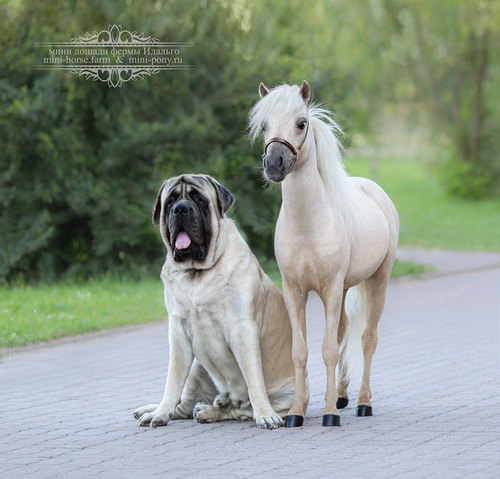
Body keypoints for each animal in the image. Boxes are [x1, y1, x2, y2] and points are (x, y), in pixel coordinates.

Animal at [133, 175, 302, 432]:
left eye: (198, 199)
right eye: (170, 200)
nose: (180, 209)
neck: (197, 273)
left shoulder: (243, 329)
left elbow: (254, 379)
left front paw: (265, 415)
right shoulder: (179, 332)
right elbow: (173, 381)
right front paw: (160, 413)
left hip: (290, 394)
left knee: (239, 410)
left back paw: (215, 409)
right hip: (197, 369)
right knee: (183, 407)